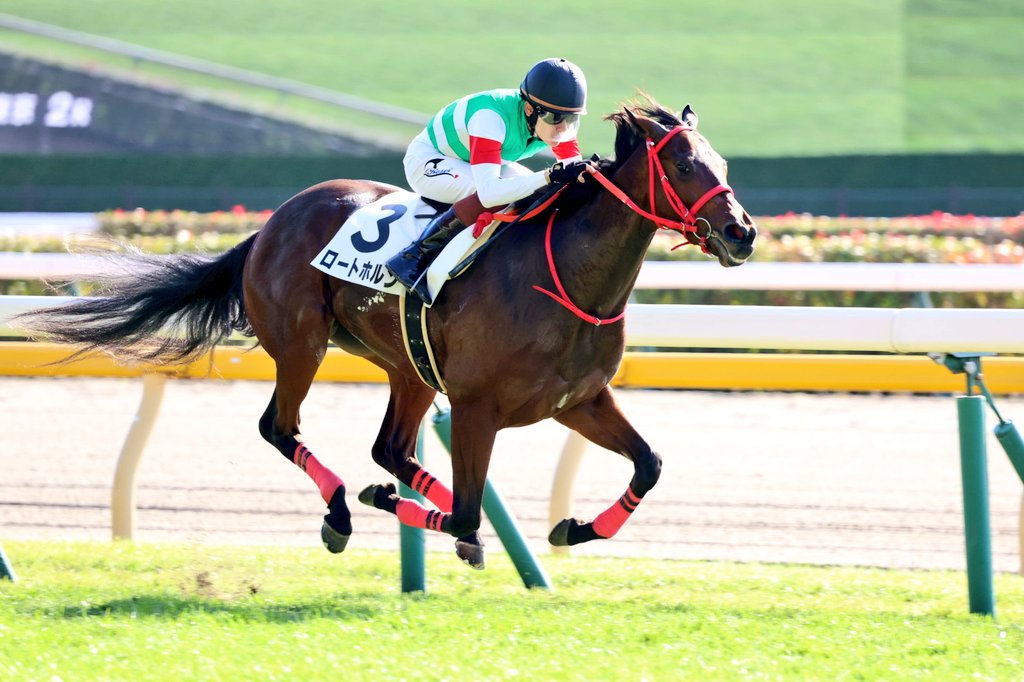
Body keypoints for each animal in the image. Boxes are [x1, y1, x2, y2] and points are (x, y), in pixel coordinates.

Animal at [18, 94, 753, 561]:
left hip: (411, 367)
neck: (567, 277)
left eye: (722, 163)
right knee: (281, 428)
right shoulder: (478, 406)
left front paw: (573, 529)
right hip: (302, 344)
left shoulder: (580, 400)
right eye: (684, 165)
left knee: (392, 450)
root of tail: (271, 223)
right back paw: (346, 509)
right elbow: (465, 505)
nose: (742, 232)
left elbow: (649, 464)